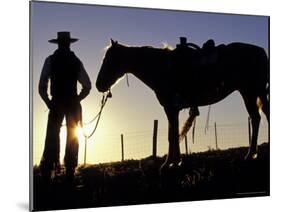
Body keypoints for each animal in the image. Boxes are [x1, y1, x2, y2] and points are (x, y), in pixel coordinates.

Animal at [97, 38, 270, 171]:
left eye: (108, 60)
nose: (99, 85)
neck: (161, 68)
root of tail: (260, 51)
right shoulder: (173, 109)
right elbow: (173, 132)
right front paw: (175, 162)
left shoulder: (170, 108)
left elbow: (172, 135)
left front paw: (169, 163)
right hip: (255, 92)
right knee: (260, 117)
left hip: (250, 91)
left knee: (257, 118)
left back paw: (250, 154)